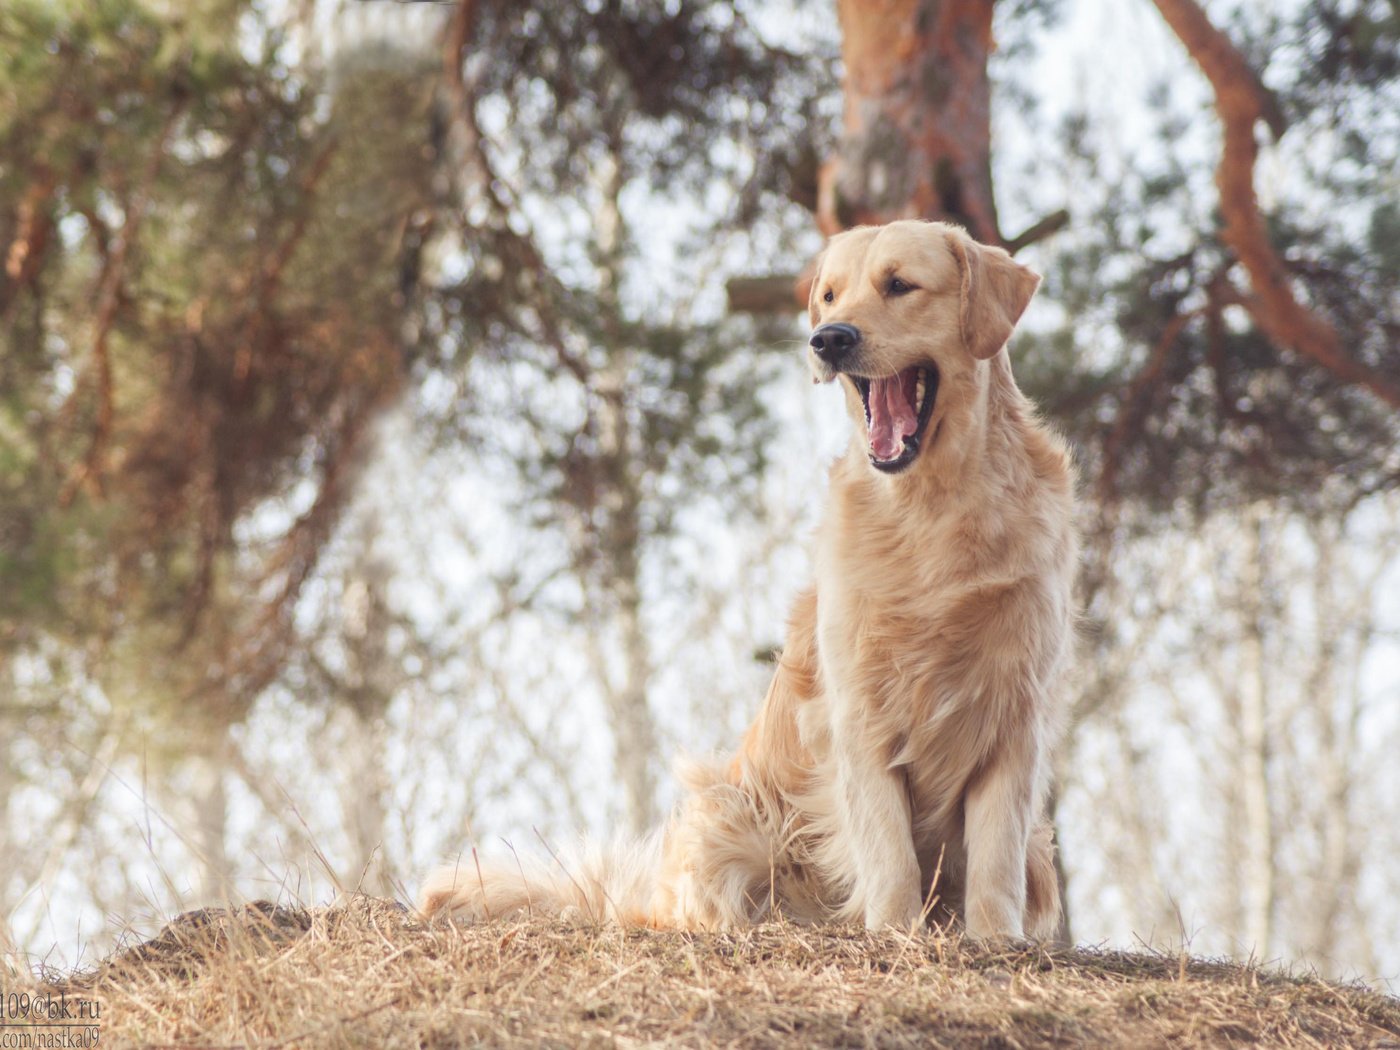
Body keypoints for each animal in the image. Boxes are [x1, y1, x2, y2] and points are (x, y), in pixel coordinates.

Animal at [420, 222, 1075, 946]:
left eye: (900, 284)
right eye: (829, 295)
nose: (829, 339)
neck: (934, 506)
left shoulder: (1015, 714)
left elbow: (995, 853)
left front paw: (994, 941)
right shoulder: (859, 711)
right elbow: (889, 850)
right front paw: (896, 933)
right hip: (728, 815)